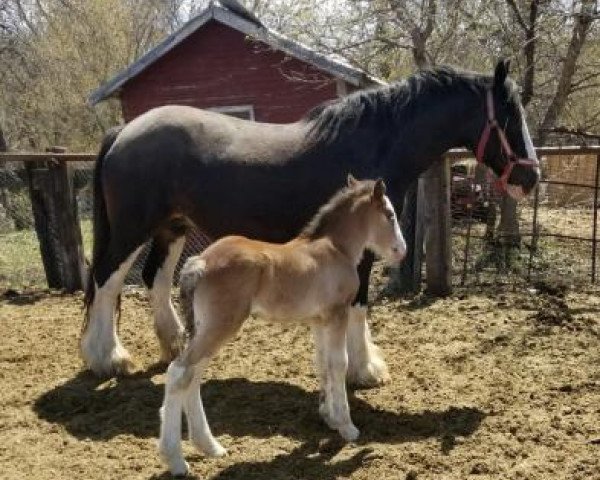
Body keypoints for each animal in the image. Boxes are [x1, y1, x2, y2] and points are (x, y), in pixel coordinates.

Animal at [81, 61, 540, 382]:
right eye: (510, 115)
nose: (531, 177)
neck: (375, 141)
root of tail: (125, 130)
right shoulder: (360, 251)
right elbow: (359, 303)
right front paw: (363, 370)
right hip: (132, 229)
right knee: (107, 281)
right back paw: (108, 358)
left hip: (171, 226)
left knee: (154, 278)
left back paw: (172, 345)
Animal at [158, 174, 408, 474]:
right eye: (390, 215)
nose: (402, 251)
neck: (335, 249)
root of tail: (201, 261)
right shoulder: (337, 314)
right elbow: (339, 364)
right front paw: (348, 427)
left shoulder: (320, 319)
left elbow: (322, 364)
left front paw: (329, 418)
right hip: (220, 326)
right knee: (178, 373)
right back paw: (176, 460)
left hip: (207, 327)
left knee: (192, 376)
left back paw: (210, 447)